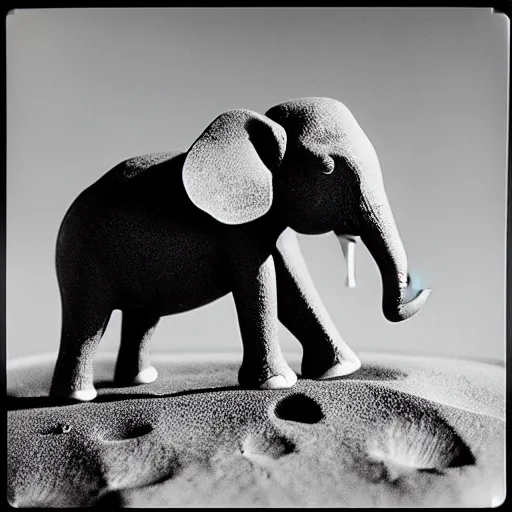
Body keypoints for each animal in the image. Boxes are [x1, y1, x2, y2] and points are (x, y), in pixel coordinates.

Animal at [49, 95, 432, 400]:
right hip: (81, 256)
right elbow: (262, 285)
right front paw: (277, 383)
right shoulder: (239, 230)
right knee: (87, 321)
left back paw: (139, 380)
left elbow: (293, 286)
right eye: (327, 168)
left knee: (142, 318)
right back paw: (77, 397)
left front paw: (340, 371)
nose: (425, 290)